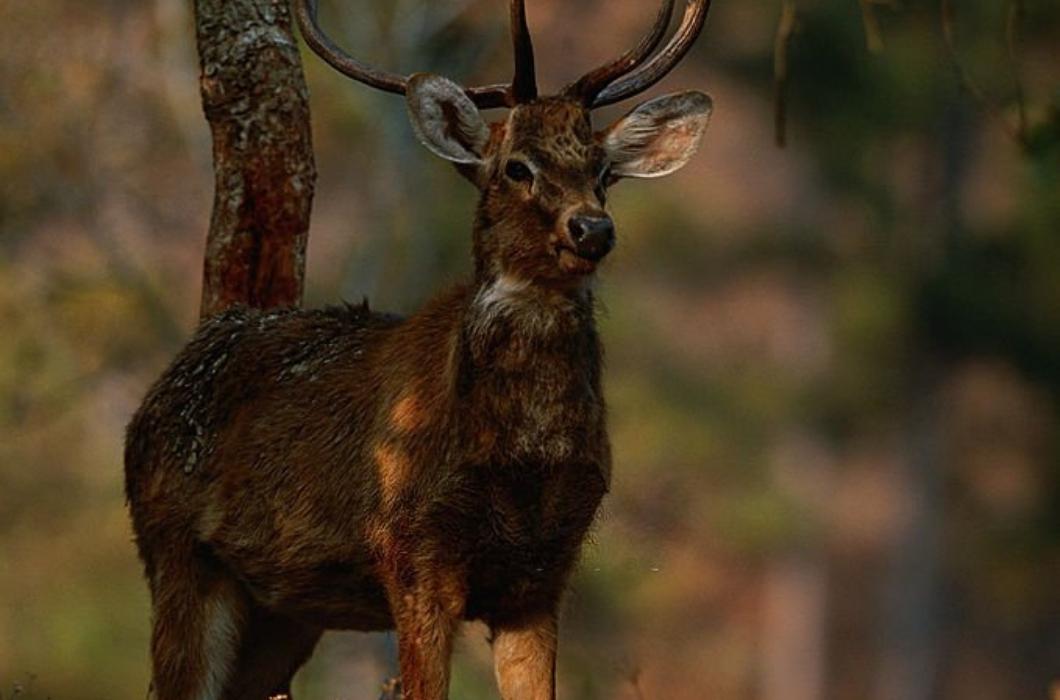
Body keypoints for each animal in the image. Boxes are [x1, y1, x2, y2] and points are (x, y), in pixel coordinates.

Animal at [128, 2, 716, 695]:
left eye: (603, 172)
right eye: (517, 167)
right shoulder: (411, 550)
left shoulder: (545, 572)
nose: (592, 228)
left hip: (285, 610)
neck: (523, 460)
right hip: (175, 551)